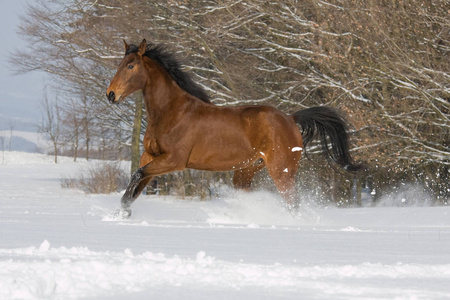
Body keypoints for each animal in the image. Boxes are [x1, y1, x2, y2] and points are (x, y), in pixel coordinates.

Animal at [106, 39, 362, 218]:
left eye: (130, 66)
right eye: (119, 64)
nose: (111, 95)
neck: (171, 111)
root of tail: (290, 118)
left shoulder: (174, 160)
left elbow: (138, 176)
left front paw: (123, 212)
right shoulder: (150, 155)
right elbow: (137, 182)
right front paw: (123, 212)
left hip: (281, 170)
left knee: (293, 202)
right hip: (247, 170)